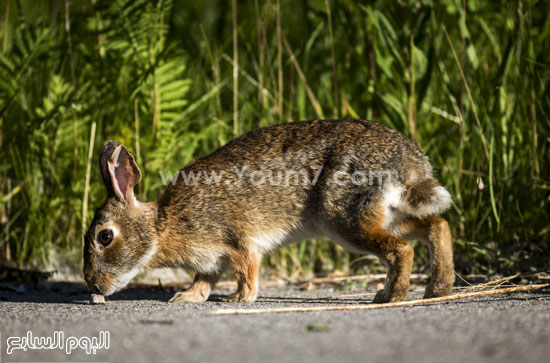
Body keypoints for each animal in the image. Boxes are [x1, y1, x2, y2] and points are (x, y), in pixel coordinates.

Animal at [84, 120, 454, 304]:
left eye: (105, 237)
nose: (93, 284)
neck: (162, 226)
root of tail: (408, 163)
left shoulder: (237, 242)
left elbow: (247, 270)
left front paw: (238, 300)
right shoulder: (210, 261)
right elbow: (203, 280)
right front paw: (186, 298)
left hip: (345, 219)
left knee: (401, 250)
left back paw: (393, 298)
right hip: (385, 213)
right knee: (437, 226)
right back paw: (437, 289)